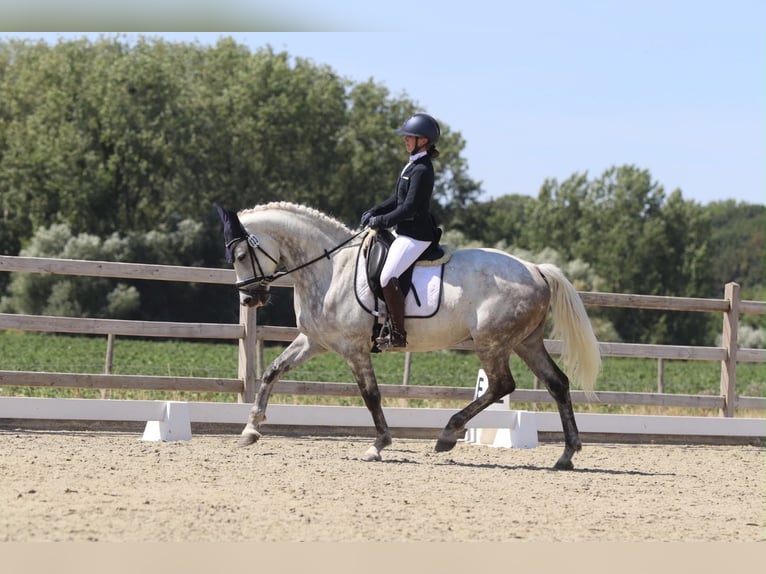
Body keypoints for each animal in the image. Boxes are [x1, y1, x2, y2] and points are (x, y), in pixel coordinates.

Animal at [216, 202, 601, 470]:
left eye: (240, 254)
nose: (249, 300)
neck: (330, 268)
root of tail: (537, 269)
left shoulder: (353, 347)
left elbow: (370, 395)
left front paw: (379, 444)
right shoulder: (315, 341)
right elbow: (272, 372)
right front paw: (250, 430)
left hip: (492, 342)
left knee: (500, 385)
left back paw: (447, 435)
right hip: (525, 341)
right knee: (557, 384)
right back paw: (566, 455)